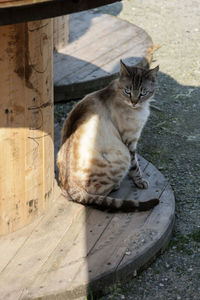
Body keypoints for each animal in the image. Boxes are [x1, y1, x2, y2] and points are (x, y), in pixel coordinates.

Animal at [56, 59, 159, 212]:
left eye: (143, 93)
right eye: (128, 91)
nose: (134, 102)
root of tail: (71, 189)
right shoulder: (130, 141)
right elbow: (135, 166)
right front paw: (140, 181)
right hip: (122, 155)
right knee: (99, 194)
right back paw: (116, 185)